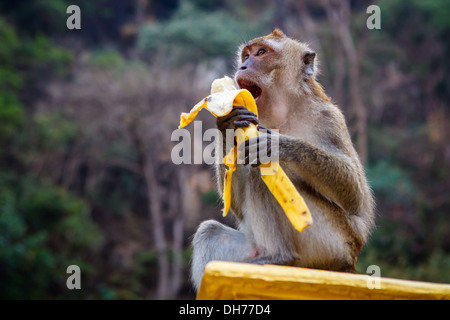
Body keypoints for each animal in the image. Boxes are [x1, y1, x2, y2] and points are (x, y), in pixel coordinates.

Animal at [191, 29, 376, 290]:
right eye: (246, 55)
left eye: (261, 53)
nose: (243, 65)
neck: (282, 111)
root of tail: (348, 264)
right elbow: (234, 204)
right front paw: (227, 121)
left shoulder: (328, 118)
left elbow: (356, 197)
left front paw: (278, 145)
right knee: (209, 231)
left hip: (329, 243)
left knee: (262, 172)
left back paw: (280, 256)